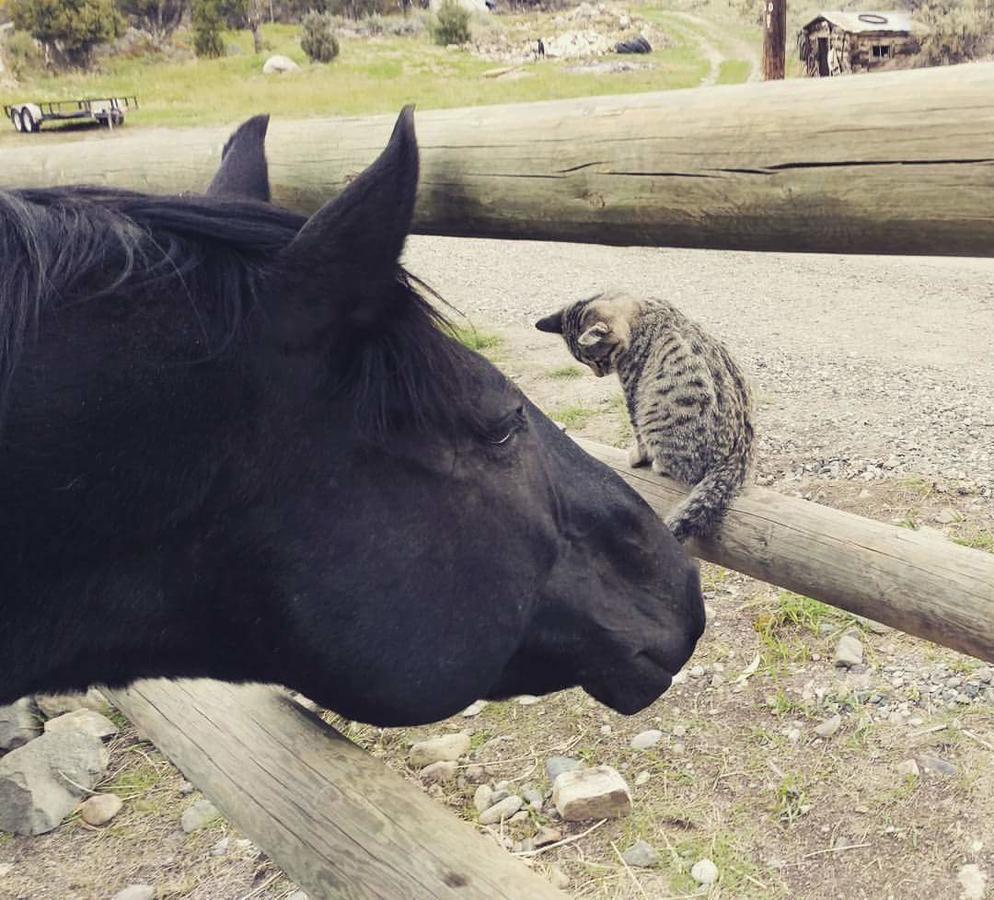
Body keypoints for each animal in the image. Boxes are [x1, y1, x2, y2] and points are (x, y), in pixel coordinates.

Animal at [536, 292, 752, 540]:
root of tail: (736, 460)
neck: (644, 311)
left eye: (598, 360)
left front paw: (637, 457)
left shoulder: (633, 393)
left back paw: (659, 464)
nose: (598, 374)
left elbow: (637, 433)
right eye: (586, 363)